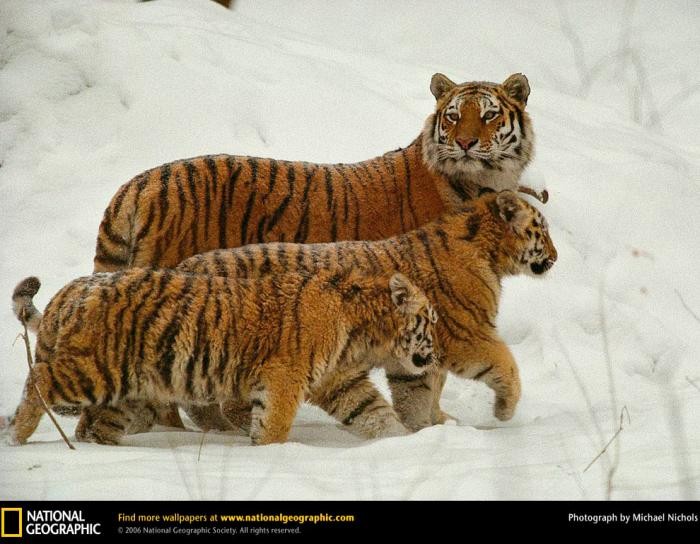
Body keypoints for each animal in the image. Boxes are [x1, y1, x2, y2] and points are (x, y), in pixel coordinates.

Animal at [93, 72, 540, 430]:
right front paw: (436, 423)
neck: (479, 183)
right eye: (453, 116)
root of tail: (136, 186)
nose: (465, 143)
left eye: (488, 116)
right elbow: (434, 371)